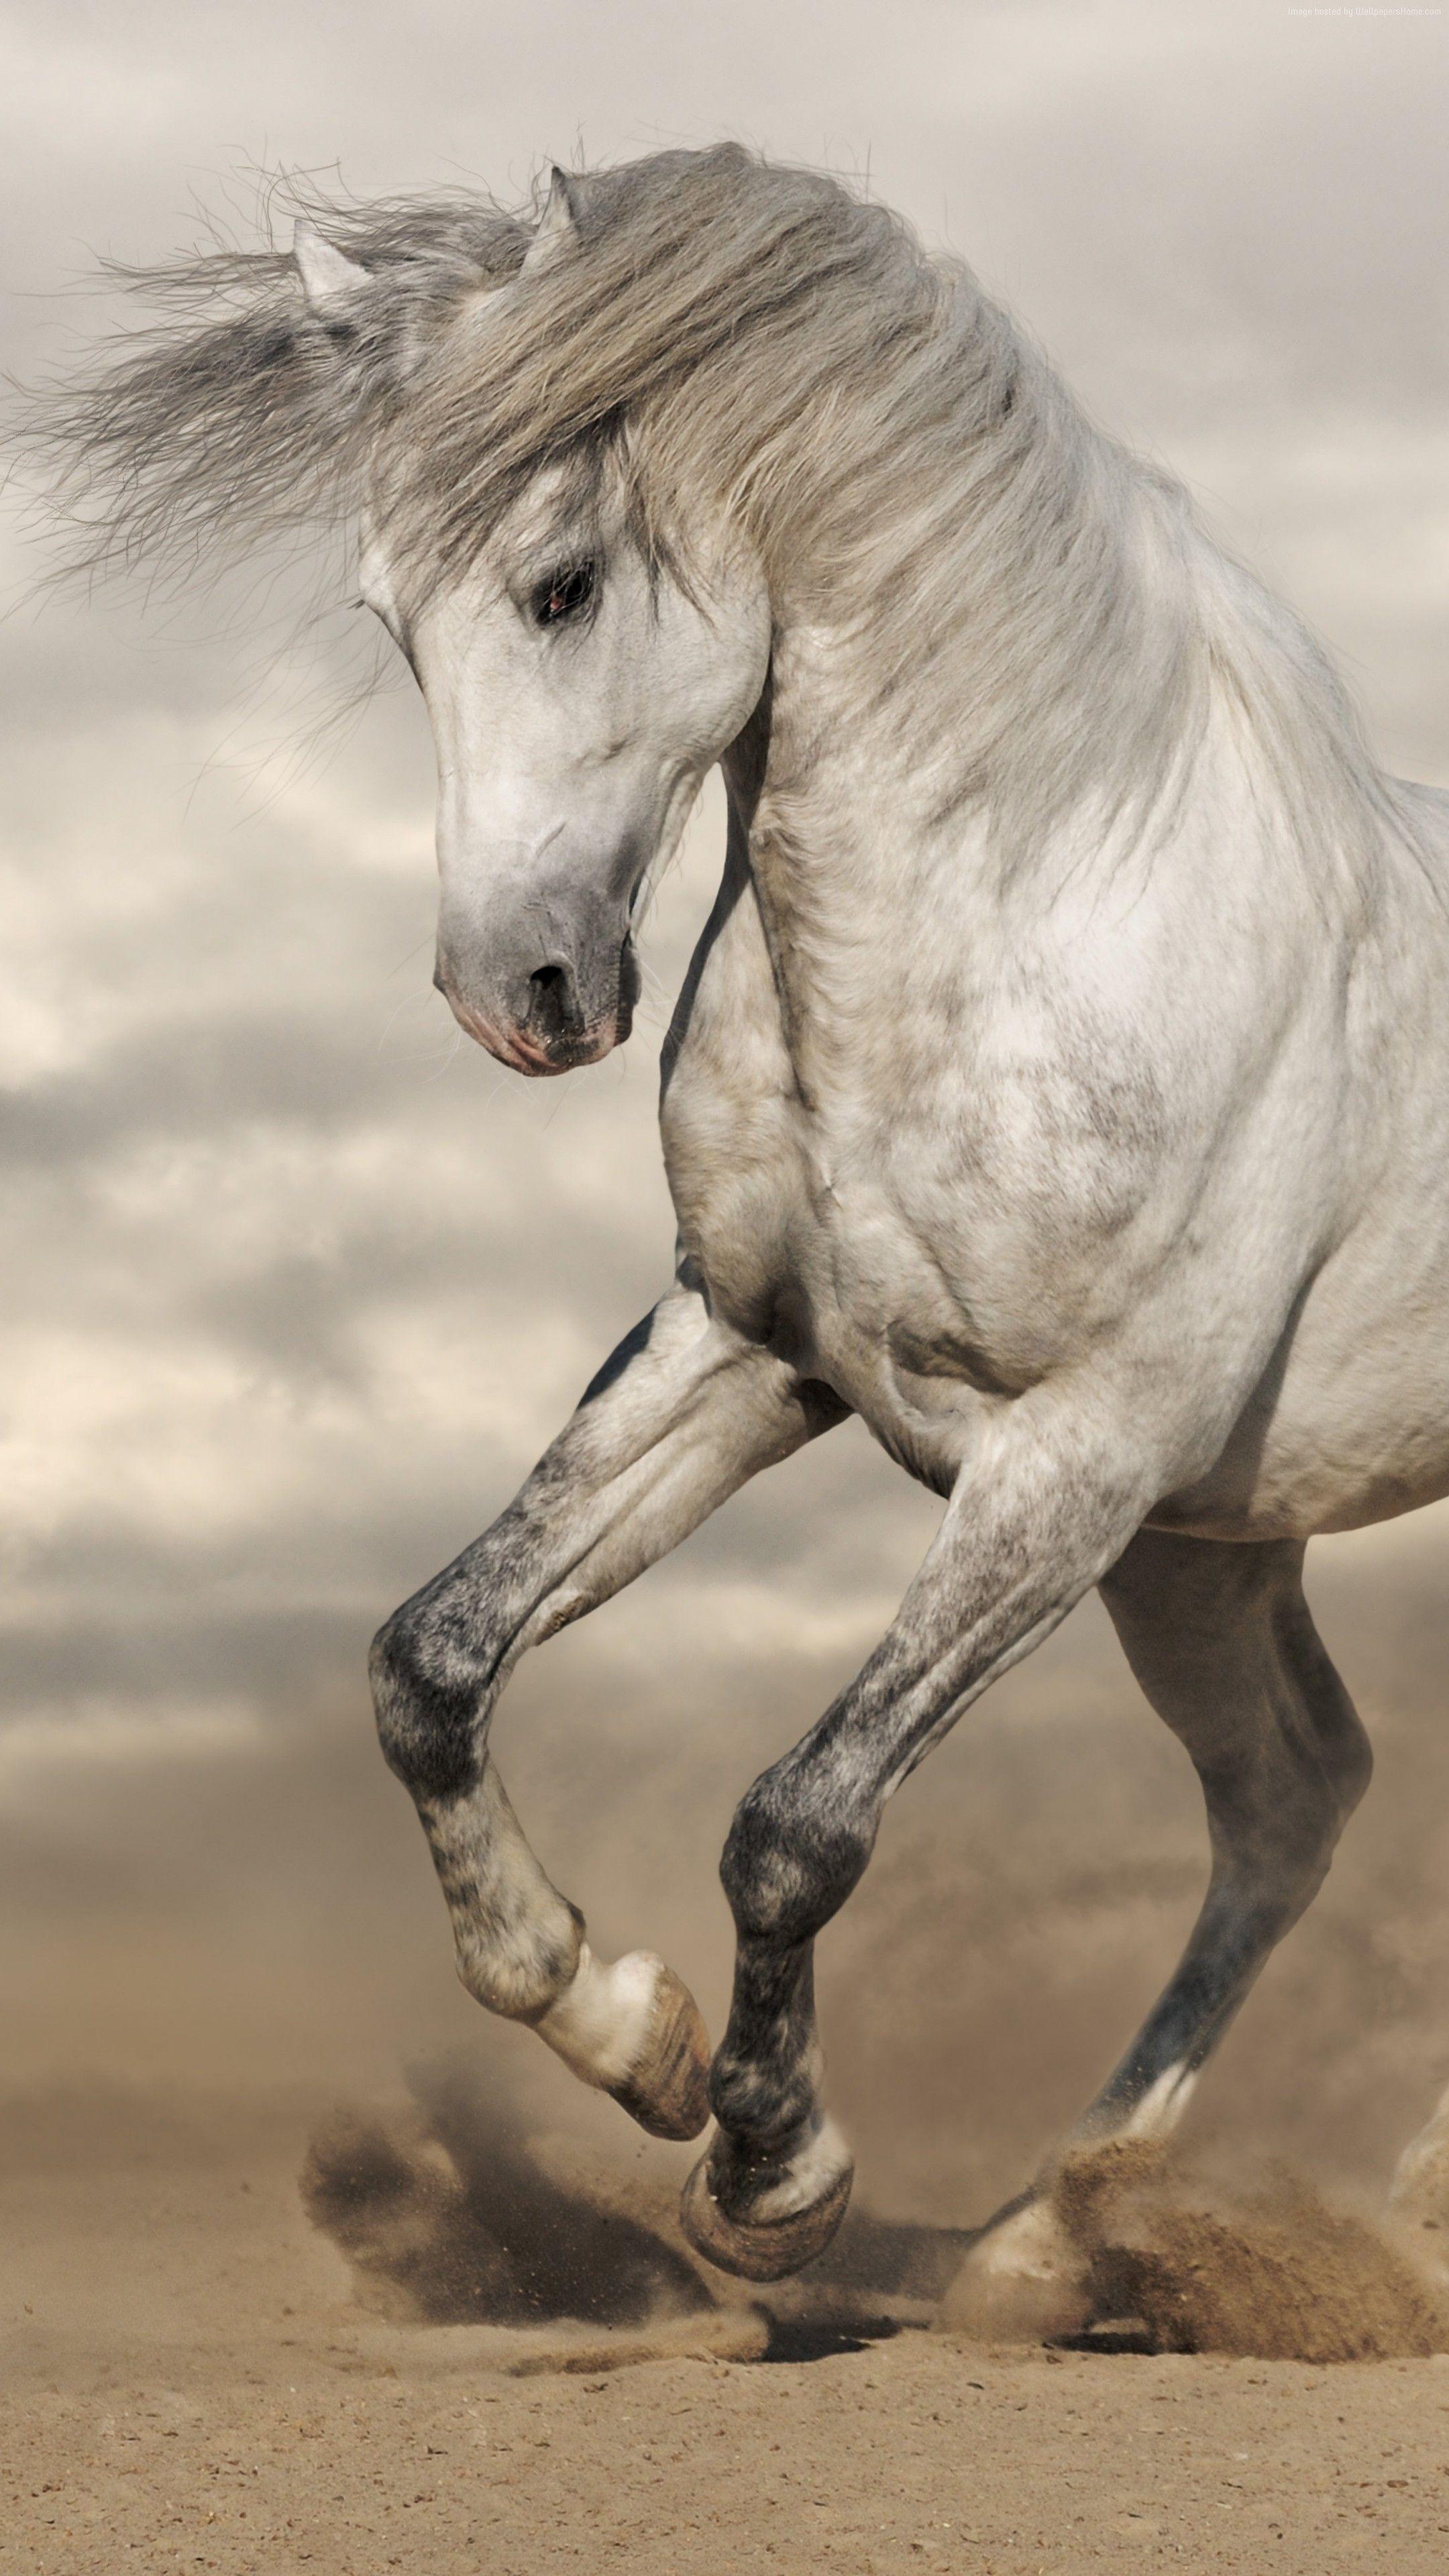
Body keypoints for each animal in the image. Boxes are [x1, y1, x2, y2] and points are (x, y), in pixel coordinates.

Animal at [28, 142, 1449, 2332]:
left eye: (561, 582)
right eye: (386, 616)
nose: (515, 992)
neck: (1033, 920)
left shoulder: (1073, 1458)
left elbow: (799, 1818)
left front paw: (771, 2167)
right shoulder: (753, 1352)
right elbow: (430, 1658)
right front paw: (626, 2026)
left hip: (1168, 1530)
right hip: (1208, 1557)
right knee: (1292, 1794)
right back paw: (1049, 2237)